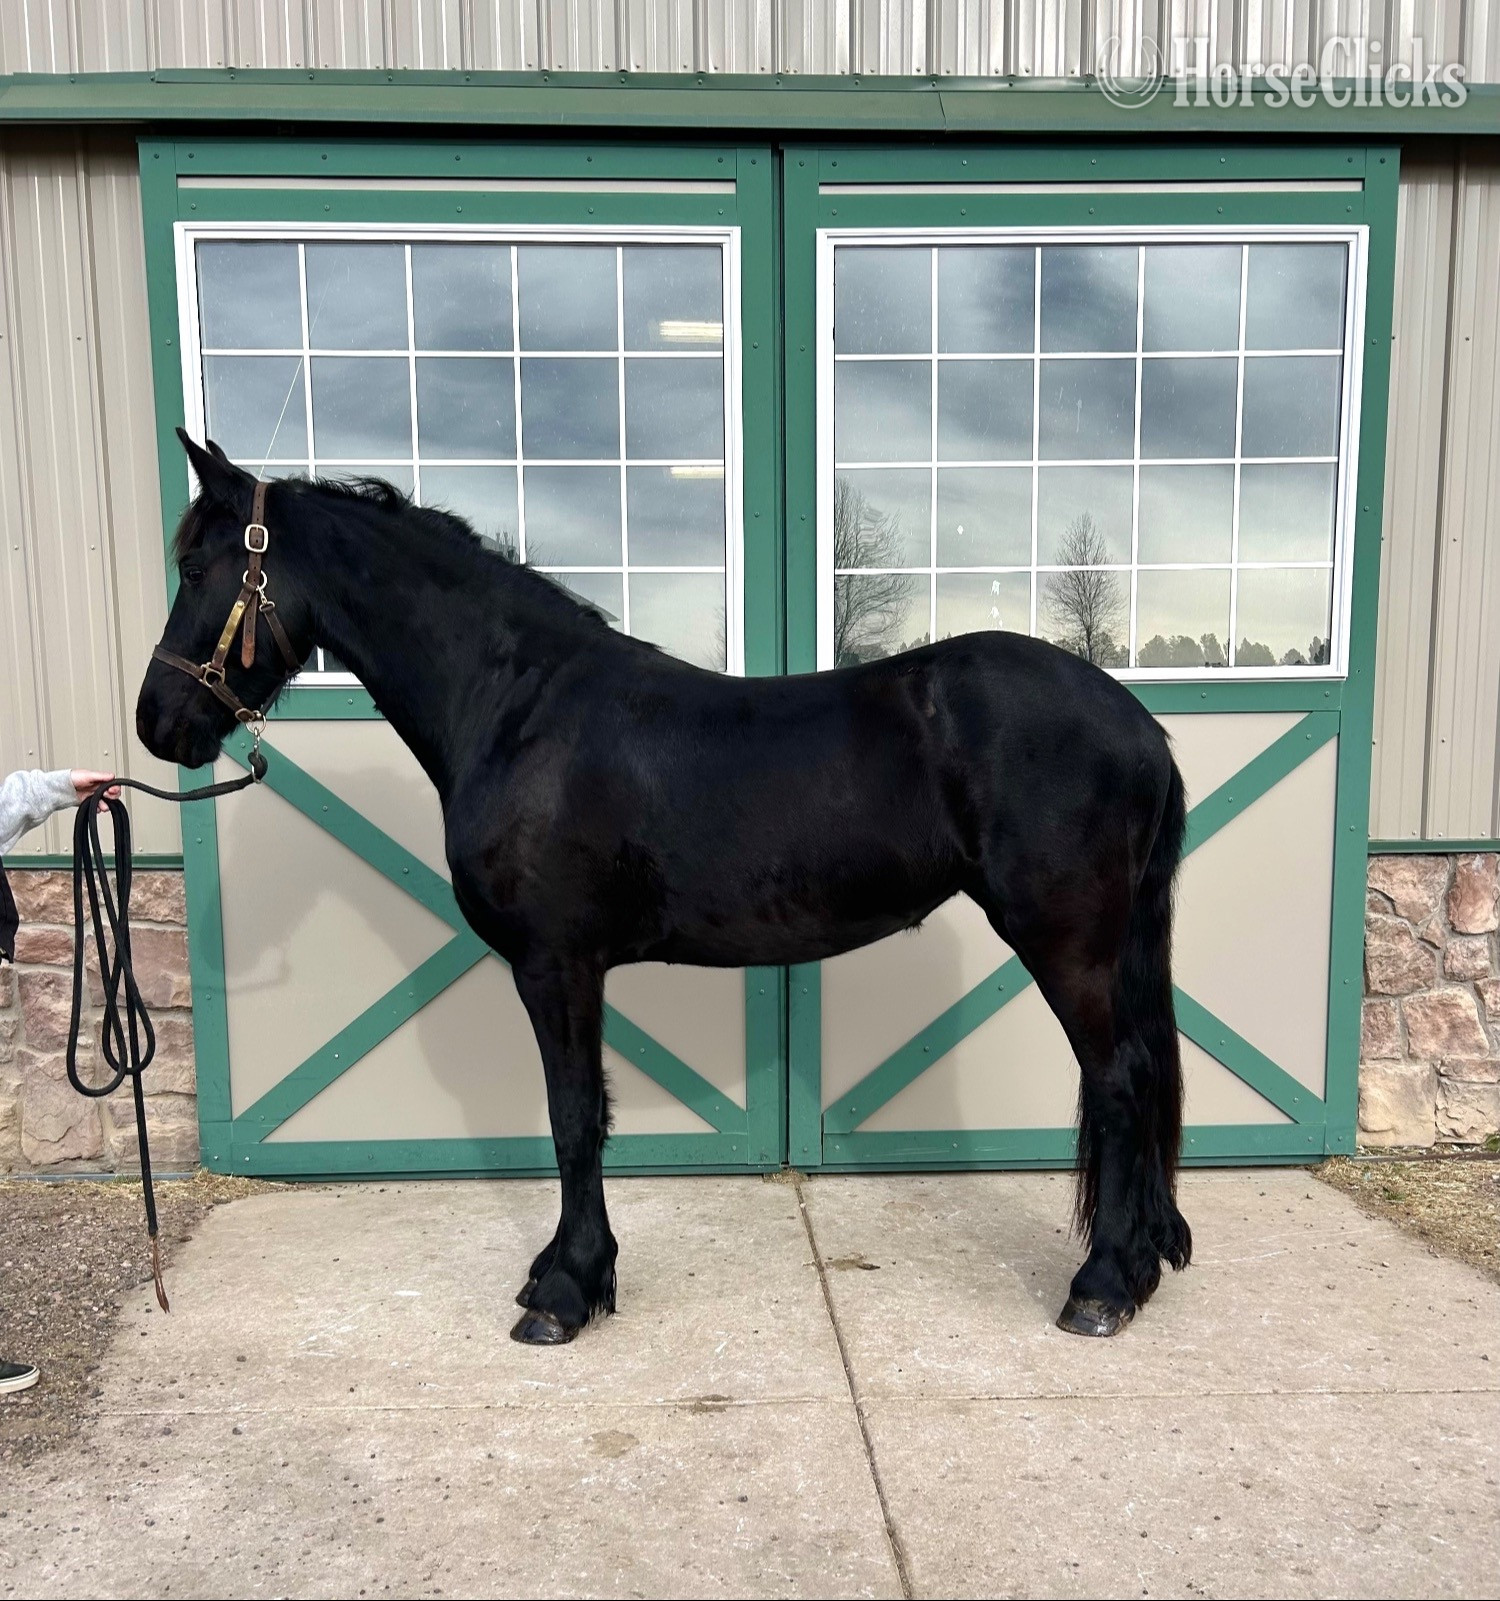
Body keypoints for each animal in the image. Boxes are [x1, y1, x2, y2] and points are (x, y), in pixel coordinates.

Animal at [137, 430, 1193, 1347]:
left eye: (198, 567)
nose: (157, 722)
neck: (517, 706)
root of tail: (1138, 724)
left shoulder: (555, 964)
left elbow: (573, 1118)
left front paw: (565, 1291)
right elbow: (581, 1117)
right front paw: (564, 1270)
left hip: (1067, 944)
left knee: (1121, 1081)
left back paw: (1102, 1286)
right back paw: (1139, 1264)